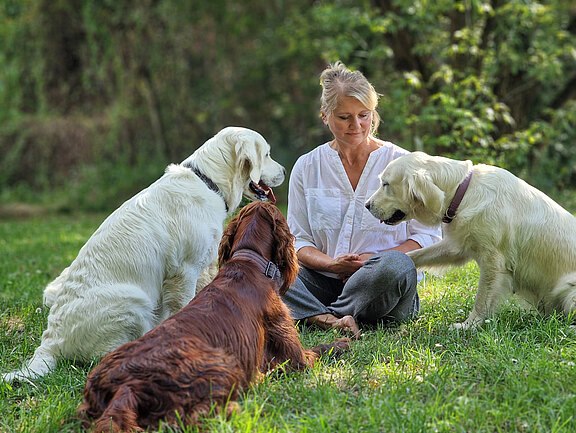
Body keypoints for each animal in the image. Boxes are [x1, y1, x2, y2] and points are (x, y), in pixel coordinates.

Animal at [1, 125, 286, 382]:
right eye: (268, 154)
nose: (284, 171)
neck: (209, 183)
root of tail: (50, 342)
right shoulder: (185, 271)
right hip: (133, 301)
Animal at [76, 201, 346, 430]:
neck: (248, 262)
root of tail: (126, 386)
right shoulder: (294, 354)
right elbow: (321, 349)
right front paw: (344, 342)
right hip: (223, 365)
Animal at [366, 150, 576, 330]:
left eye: (385, 184)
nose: (367, 205)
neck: (462, 193)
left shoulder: (493, 261)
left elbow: (482, 299)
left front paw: (469, 325)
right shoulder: (457, 246)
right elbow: (417, 254)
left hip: (570, 288)